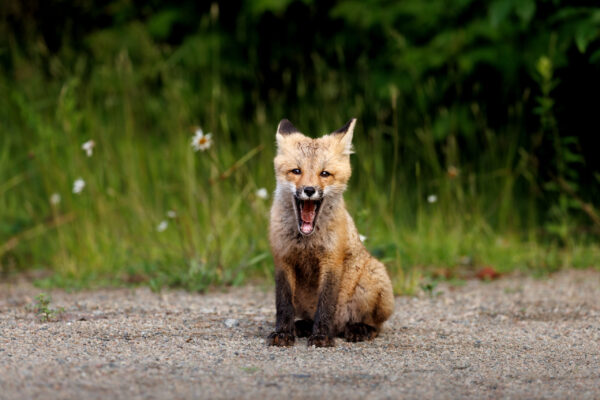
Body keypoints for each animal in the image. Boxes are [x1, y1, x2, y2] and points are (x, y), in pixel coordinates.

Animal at [268, 117, 394, 346]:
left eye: (324, 174)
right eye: (296, 171)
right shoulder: (283, 258)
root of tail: (340, 326)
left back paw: (359, 329)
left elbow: (326, 304)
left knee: (376, 326)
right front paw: (283, 332)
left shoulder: (331, 260)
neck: (306, 241)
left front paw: (321, 336)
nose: (309, 190)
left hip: (373, 278)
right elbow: (283, 304)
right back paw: (303, 326)